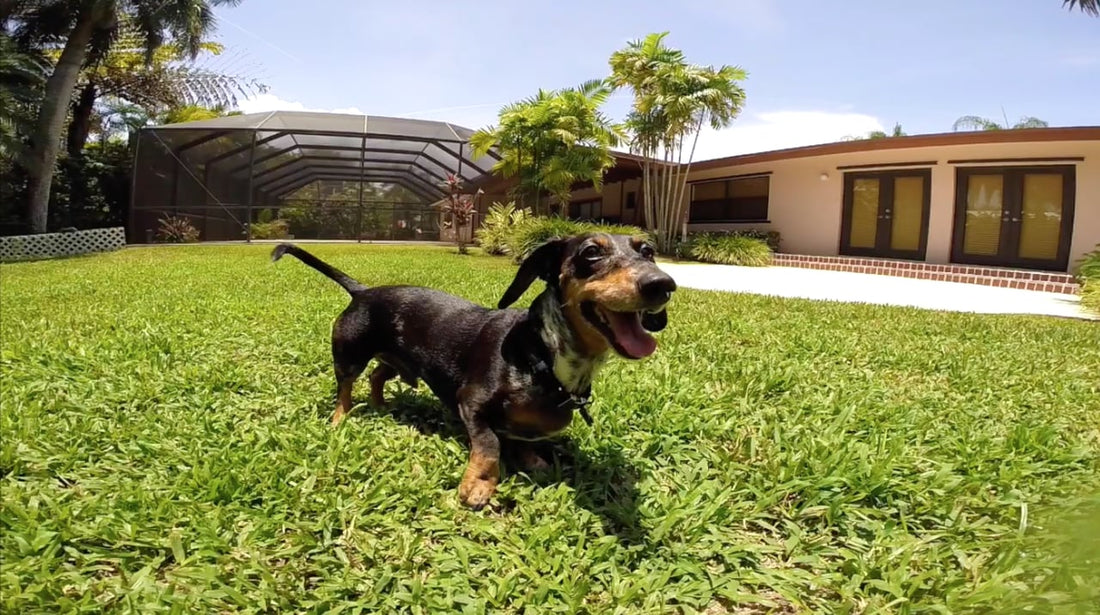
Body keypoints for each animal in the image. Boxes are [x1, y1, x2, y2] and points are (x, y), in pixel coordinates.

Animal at [273, 235, 668, 510]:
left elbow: (523, 438)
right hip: (349, 355)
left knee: (377, 377)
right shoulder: (470, 403)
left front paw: (531, 459)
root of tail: (363, 291)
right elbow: (490, 443)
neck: (540, 355)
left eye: (648, 250)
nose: (662, 284)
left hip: (394, 362)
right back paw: (341, 420)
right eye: (591, 252)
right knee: (346, 387)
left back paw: (381, 406)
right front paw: (478, 485)